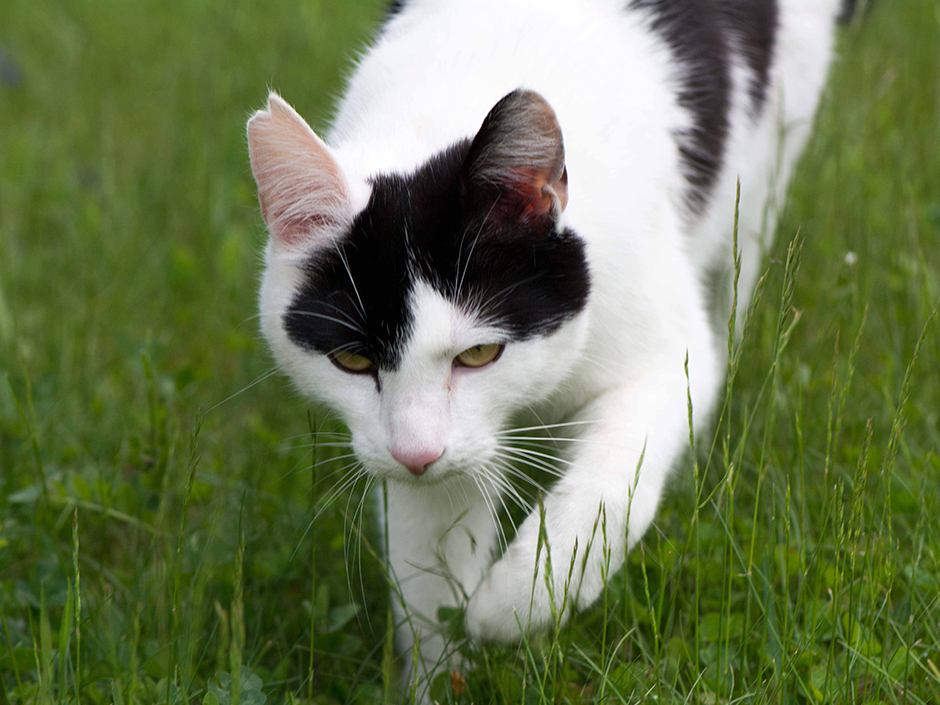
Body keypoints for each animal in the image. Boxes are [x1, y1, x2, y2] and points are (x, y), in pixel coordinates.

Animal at [246, 0, 848, 688]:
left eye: (479, 354)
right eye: (352, 360)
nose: (416, 454)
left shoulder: (664, 360)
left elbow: (606, 496)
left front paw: (512, 606)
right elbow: (431, 574)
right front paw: (445, 677)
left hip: (769, 157)